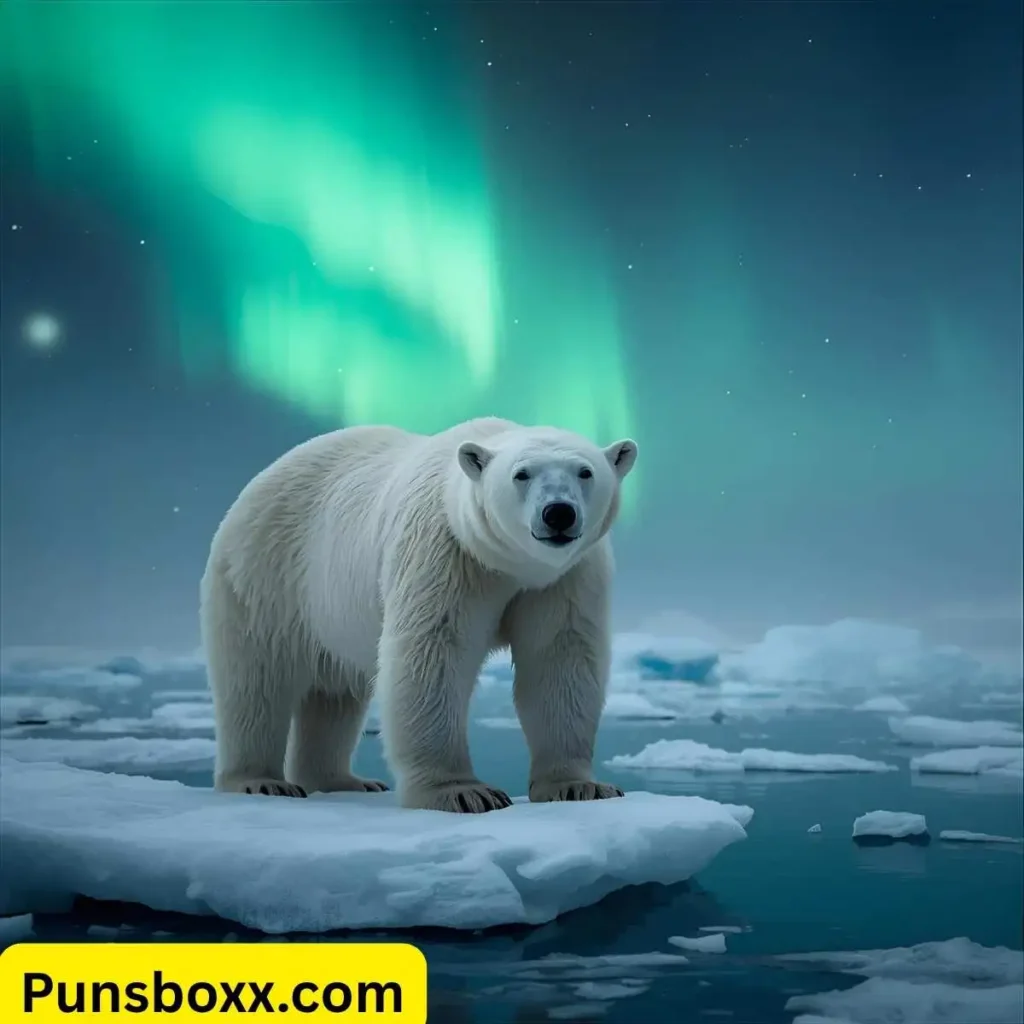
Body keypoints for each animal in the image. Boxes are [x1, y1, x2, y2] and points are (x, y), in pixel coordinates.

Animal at [200, 416, 638, 813]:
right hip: (267, 574)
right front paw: (463, 793)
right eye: (521, 474)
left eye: (585, 471)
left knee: (334, 692)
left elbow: (560, 659)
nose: (558, 513)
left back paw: (343, 780)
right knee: (256, 678)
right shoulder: (445, 550)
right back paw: (260, 781)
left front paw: (579, 786)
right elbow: (434, 651)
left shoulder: (565, 578)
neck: (509, 565)